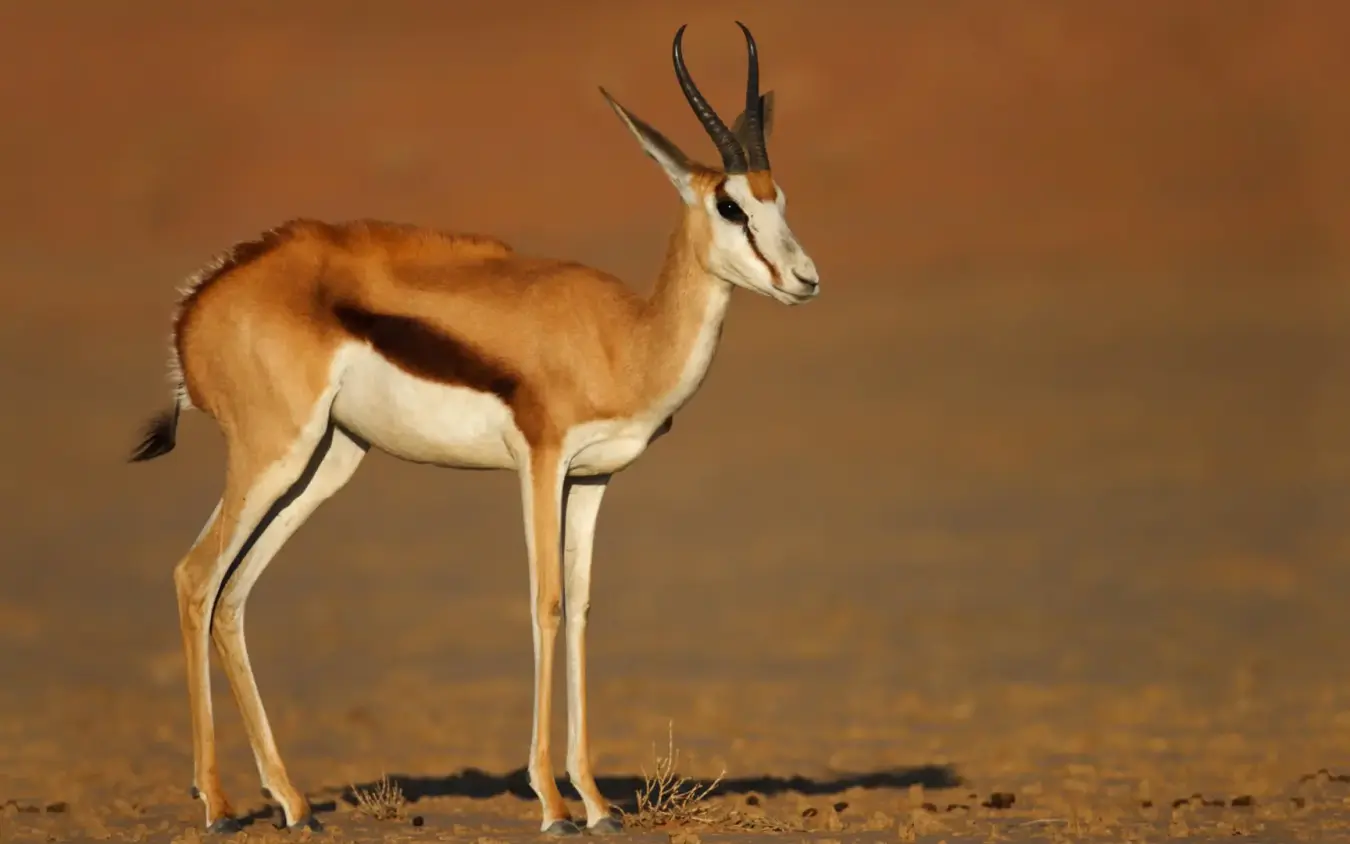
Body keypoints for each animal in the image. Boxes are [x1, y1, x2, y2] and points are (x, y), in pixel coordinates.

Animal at [129, 21, 819, 836]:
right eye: (730, 206)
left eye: (780, 198)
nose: (805, 279)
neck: (627, 336)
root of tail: (199, 302)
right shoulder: (541, 462)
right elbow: (546, 605)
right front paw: (552, 804)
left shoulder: (594, 479)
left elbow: (582, 610)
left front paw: (595, 802)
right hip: (275, 453)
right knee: (195, 577)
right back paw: (219, 806)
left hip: (326, 462)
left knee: (232, 595)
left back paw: (293, 804)